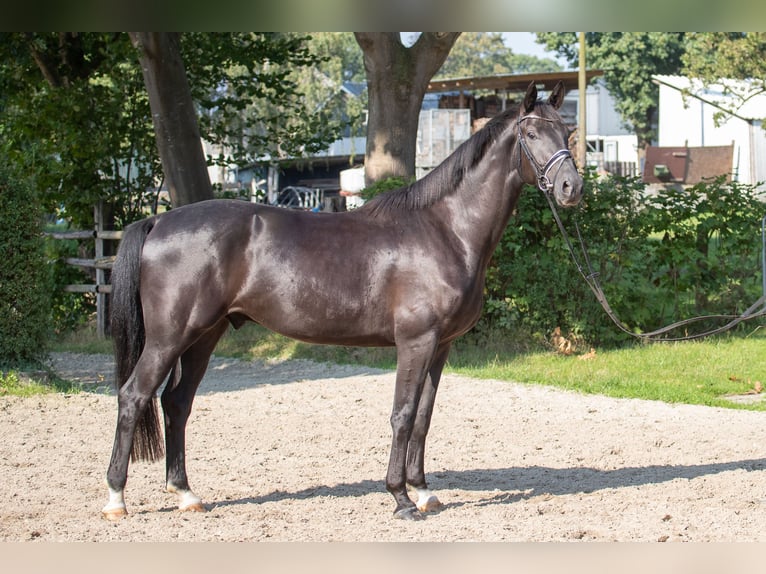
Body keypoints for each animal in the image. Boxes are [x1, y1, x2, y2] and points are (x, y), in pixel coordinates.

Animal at [100, 80, 584, 520]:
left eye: (567, 131)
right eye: (531, 133)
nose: (570, 188)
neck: (445, 229)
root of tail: (159, 221)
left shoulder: (442, 346)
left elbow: (424, 417)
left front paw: (424, 492)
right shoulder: (416, 342)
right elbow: (402, 414)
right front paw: (400, 499)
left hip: (204, 334)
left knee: (176, 403)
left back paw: (186, 494)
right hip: (169, 337)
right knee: (133, 396)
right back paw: (116, 499)